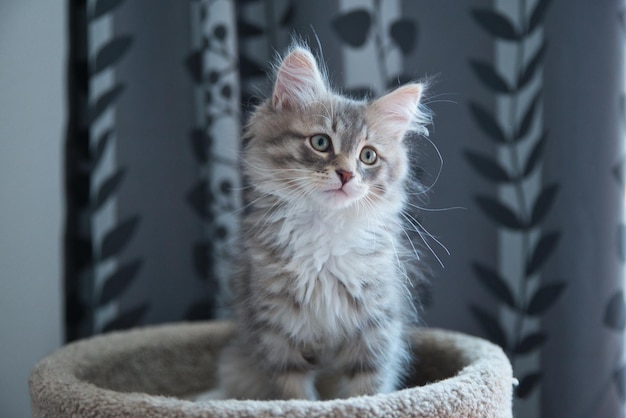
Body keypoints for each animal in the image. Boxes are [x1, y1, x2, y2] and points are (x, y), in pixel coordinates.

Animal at [218, 44, 428, 400]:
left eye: (368, 156)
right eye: (320, 143)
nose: (346, 175)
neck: (324, 234)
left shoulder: (375, 331)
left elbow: (367, 392)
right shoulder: (279, 334)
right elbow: (296, 395)